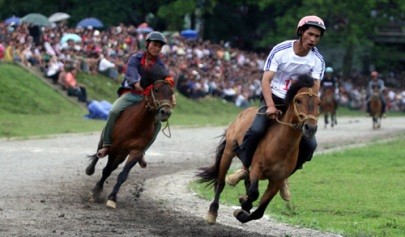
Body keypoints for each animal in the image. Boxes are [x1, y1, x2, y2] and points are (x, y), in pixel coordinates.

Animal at [85, 78, 174, 208]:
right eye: (156, 90)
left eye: (171, 93)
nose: (165, 112)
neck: (138, 124)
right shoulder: (115, 148)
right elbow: (106, 170)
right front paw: (96, 191)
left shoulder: (136, 152)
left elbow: (122, 175)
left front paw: (112, 198)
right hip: (107, 142)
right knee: (99, 152)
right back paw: (90, 169)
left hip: (121, 155)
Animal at [196, 74, 318, 224]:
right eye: (298, 101)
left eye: (318, 103)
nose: (310, 128)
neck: (281, 146)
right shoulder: (257, 167)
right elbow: (254, 193)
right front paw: (243, 204)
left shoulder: (277, 180)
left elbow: (260, 210)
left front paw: (242, 212)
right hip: (229, 151)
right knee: (221, 182)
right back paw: (212, 212)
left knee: (245, 179)